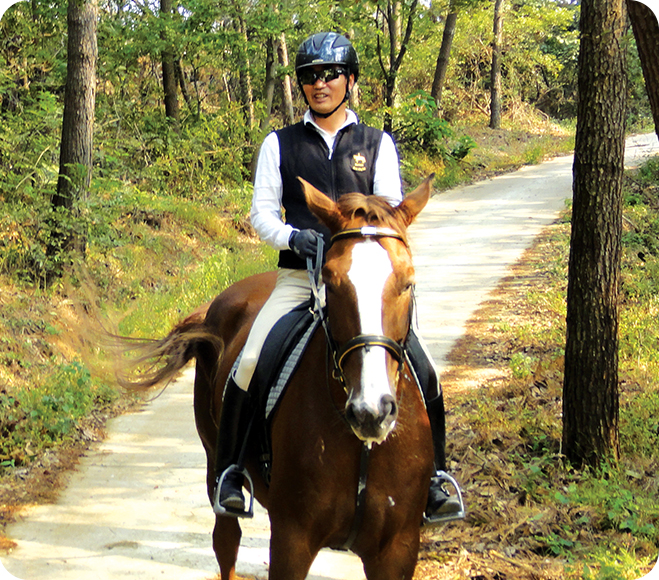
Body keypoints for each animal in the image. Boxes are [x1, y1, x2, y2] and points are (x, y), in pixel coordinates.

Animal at [127, 175, 436, 580]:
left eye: (408, 281)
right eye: (330, 282)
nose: (370, 411)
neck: (362, 448)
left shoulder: (398, 549)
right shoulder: (292, 538)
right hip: (215, 461)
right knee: (226, 541)